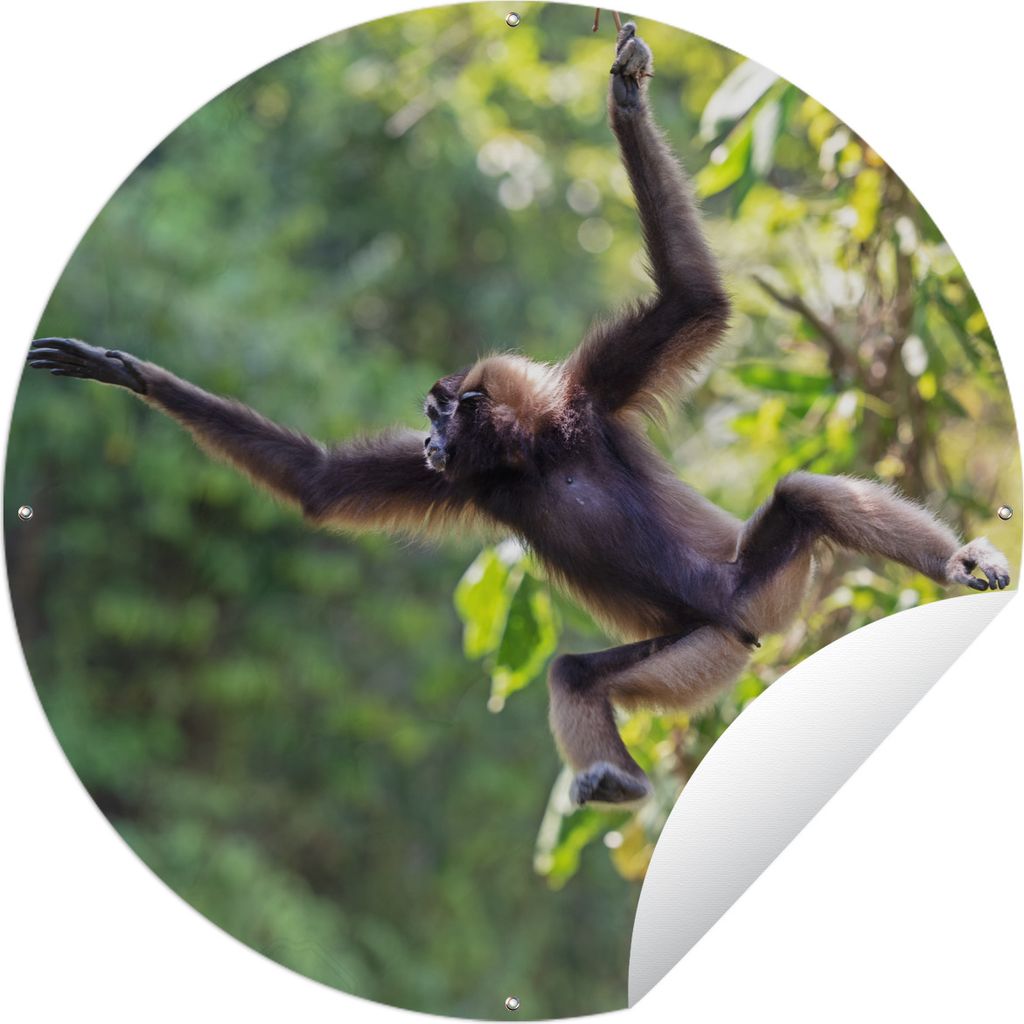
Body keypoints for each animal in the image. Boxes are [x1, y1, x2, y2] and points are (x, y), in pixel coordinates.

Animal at [27, 23, 1011, 807]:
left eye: (437, 415)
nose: (430, 441)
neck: (530, 454)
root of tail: (745, 625)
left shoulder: (587, 402)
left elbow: (694, 302)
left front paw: (624, 100)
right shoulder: (477, 483)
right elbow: (320, 486)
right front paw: (124, 373)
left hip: (745, 592)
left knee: (800, 500)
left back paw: (955, 563)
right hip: (699, 648)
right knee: (578, 671)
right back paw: (617, 780)